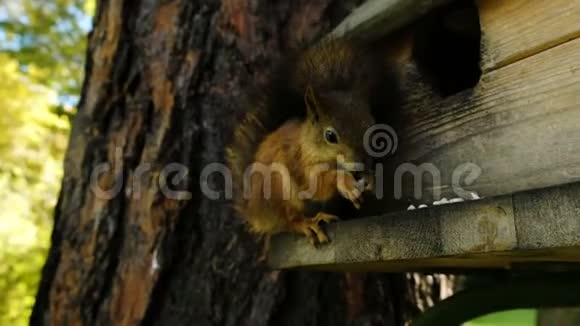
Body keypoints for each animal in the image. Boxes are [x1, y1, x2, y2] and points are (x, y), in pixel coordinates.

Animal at [227, 38, 404, 244]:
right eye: (330, 136)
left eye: (371, 124)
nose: (360, 165)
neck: (310, 144)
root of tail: (256, 215)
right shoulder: (301, 162)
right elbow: (316, 185)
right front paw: (344, 182)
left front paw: (369, 179)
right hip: (276, 187)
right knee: (288, 220)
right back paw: (308, 223)